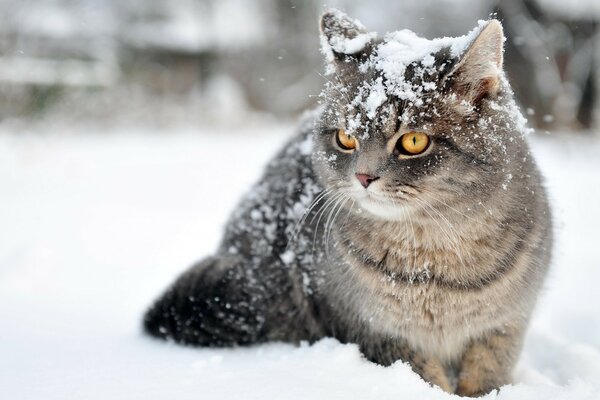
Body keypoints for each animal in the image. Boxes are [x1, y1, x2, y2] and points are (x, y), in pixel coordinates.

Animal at [143, 10, 552, 396]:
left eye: (414, 141)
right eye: (345, 138)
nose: (364, 177)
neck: (434, 262)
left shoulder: (504, 327)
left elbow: (487, 375)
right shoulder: (374, 330)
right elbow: (425, 376)